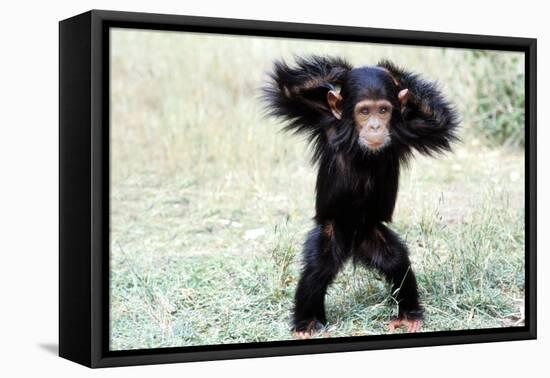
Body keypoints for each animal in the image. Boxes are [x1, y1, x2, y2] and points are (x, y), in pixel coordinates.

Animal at [266, 56, 460, 336]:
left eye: (383, 110)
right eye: (364, 111)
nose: (376, 126)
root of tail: (353, 245)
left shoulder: (413, 127)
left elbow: (439, 119)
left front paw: (391, 75)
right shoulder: (320, 118)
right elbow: (289, 88)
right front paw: (344, 73)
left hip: (372, 233)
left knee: (396, 261)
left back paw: (408, 314)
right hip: (332, 230)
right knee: (317, 269)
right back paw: (307, 322)